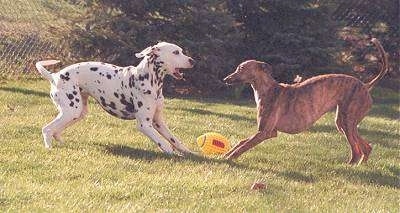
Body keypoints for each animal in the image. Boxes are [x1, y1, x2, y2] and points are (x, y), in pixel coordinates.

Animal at [36, 42, 195, 155]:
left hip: (77, 113)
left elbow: (174, 139)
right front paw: (172, 153)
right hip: (71, 111)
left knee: (56, 130)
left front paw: (188, 152)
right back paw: (49, 148)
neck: (148, 80)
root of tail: (54, 76)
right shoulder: (144, 124)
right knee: (47, 129)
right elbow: (164, 143)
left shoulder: (158, 122)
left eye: (181, 51)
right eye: (176, 52)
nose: (192, 61)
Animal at [222, 38, 388, 165]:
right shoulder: (269, 132)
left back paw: (351, 166)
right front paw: (226, 154)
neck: (267, 89)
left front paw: (228, 159)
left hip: (348, 122)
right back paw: (361, 164)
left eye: (241, 68)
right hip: (343, 123)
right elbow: (242, 142)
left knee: (356, 150)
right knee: (365, 147)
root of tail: (365, 85)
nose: (225, 79)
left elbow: (243, 146)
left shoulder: (265, 132)